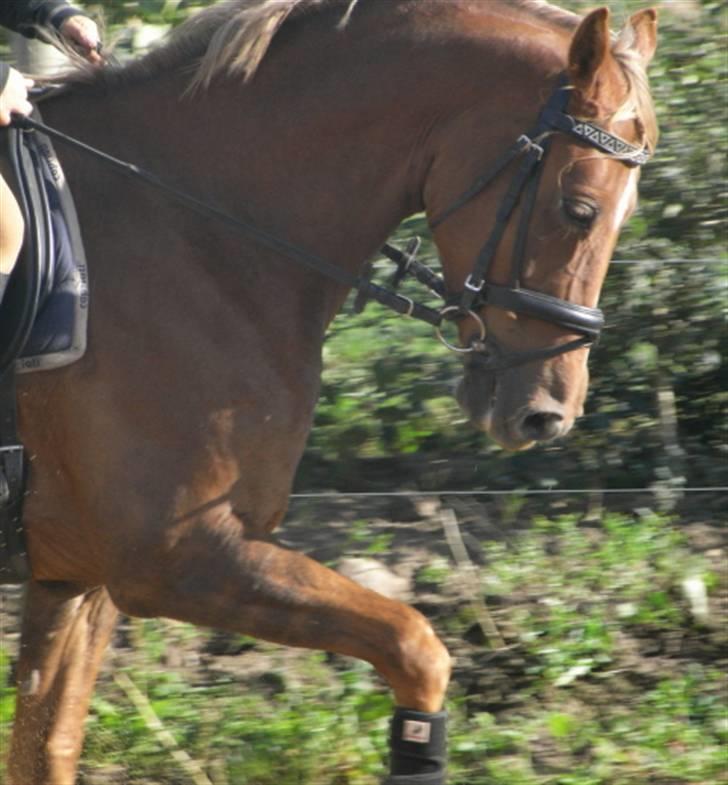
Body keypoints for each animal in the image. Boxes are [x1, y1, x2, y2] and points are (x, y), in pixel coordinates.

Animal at [5, 1, 657, 782]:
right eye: (579, 208)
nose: (547, 414)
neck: (198, 231)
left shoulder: (79, 578)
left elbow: (47, 747)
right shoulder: (177, 559)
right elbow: (416, 648)